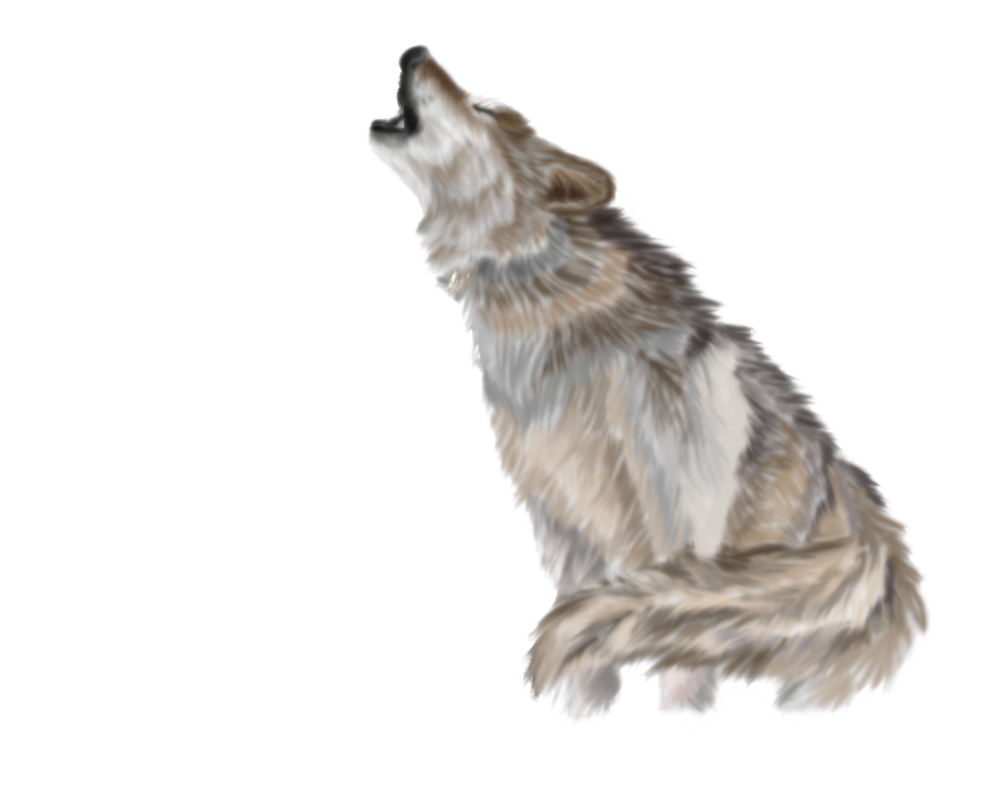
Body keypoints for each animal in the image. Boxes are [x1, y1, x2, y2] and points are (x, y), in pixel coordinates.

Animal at [362, 44, 931, 730]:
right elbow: (595, 630)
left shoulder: (675, 524)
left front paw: (685, 713)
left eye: (485, 108)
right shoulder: (561, 526)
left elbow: (671, 637)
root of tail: (878, 541)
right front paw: (582, 711)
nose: (414, 52)